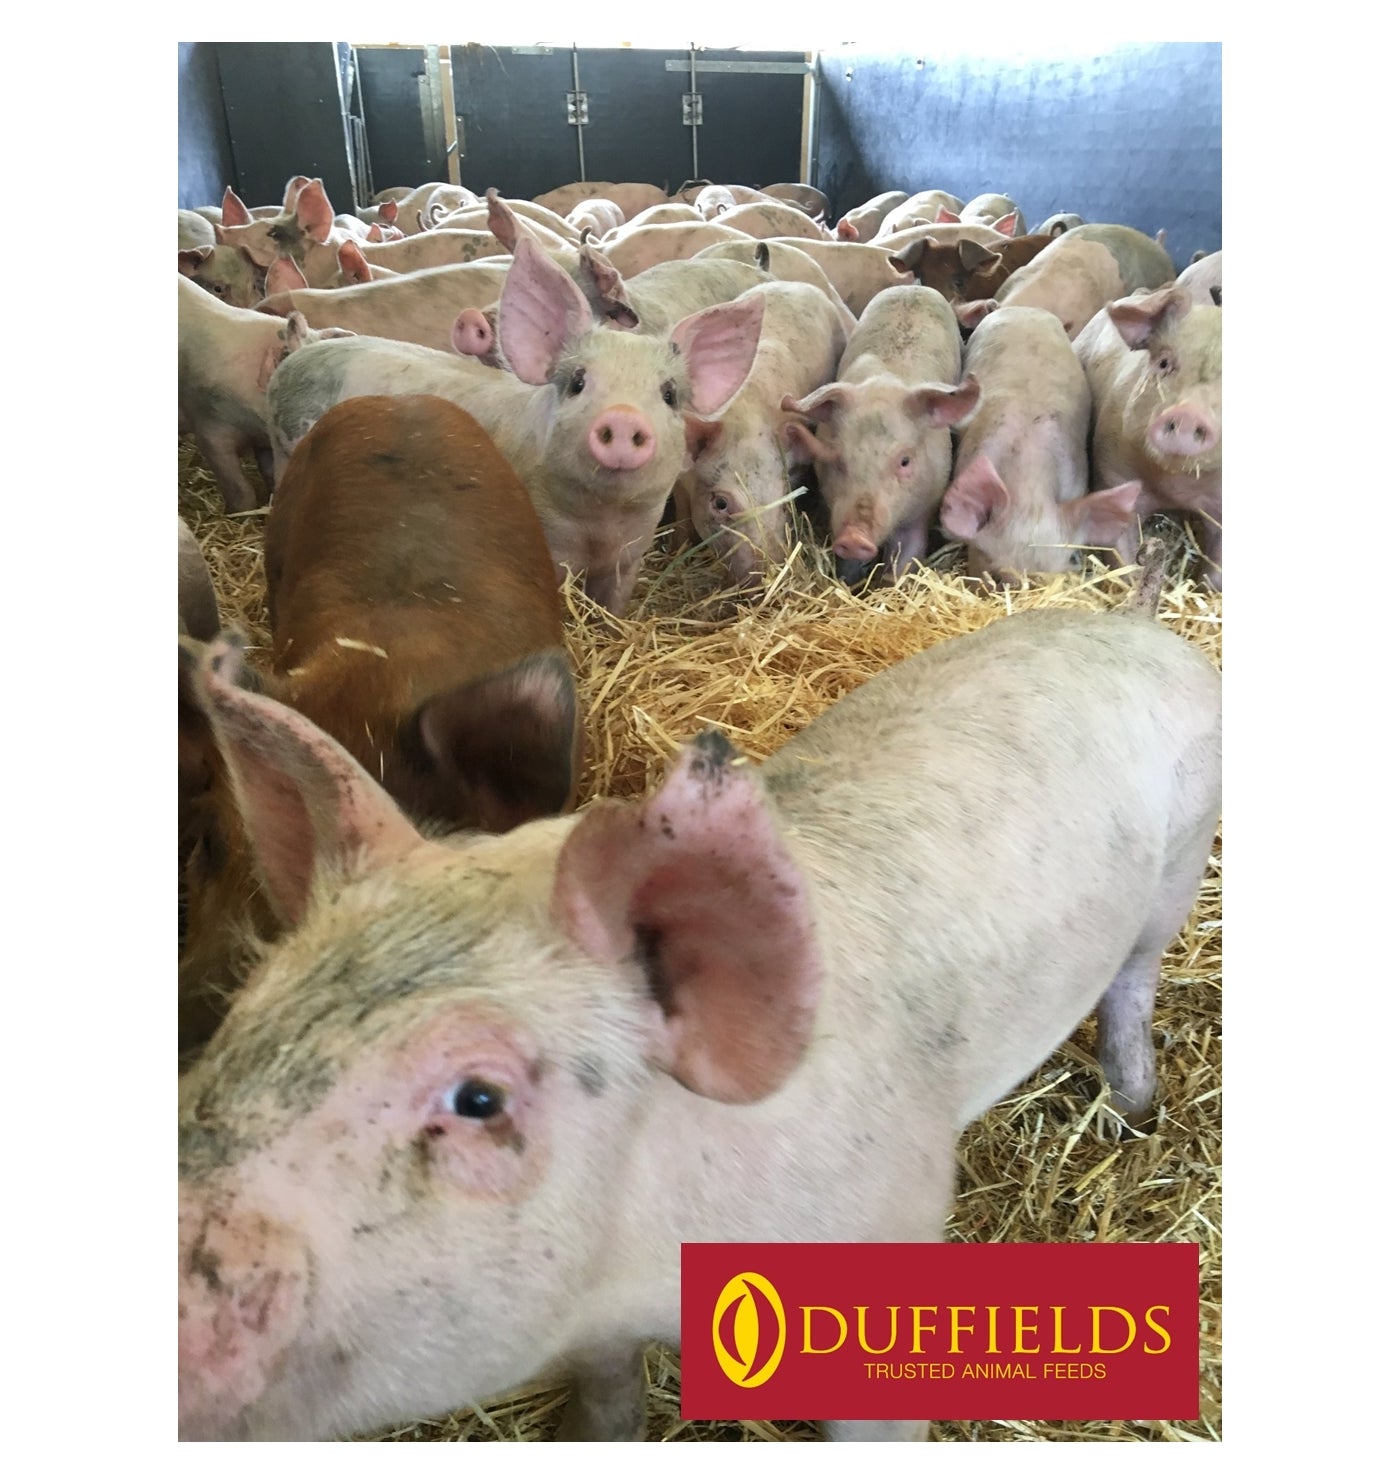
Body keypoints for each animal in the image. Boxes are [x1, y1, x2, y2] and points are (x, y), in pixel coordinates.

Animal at [177, 603, 1222, 1442]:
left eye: (477, 1098)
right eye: (249, 1006)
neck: (651, 1261)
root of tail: (1134, 624)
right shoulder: (592, 1319)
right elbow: (606, 1392)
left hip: (1179, 860)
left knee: (1133, 977)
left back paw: (1133, 1106)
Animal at [264, 239, 764, 614]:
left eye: (669, 395)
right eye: (577, 382)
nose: (622, 417)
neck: (599, 524)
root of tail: (300, 353)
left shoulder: (629, 554)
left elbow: (614, 607)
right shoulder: (549, 545)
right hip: (285, 455)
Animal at [671, 281, 850, 587]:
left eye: (784, 499)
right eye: (721, 502)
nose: (764, 576)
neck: (745, 419)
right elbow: (682, 519)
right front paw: (676, 551)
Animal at [780, 285, 980, 574]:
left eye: (905, 461)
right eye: (838, 460)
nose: (854, 538)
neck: (886, 379)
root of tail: (915, 286)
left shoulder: (925, 505)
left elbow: (907, 554)